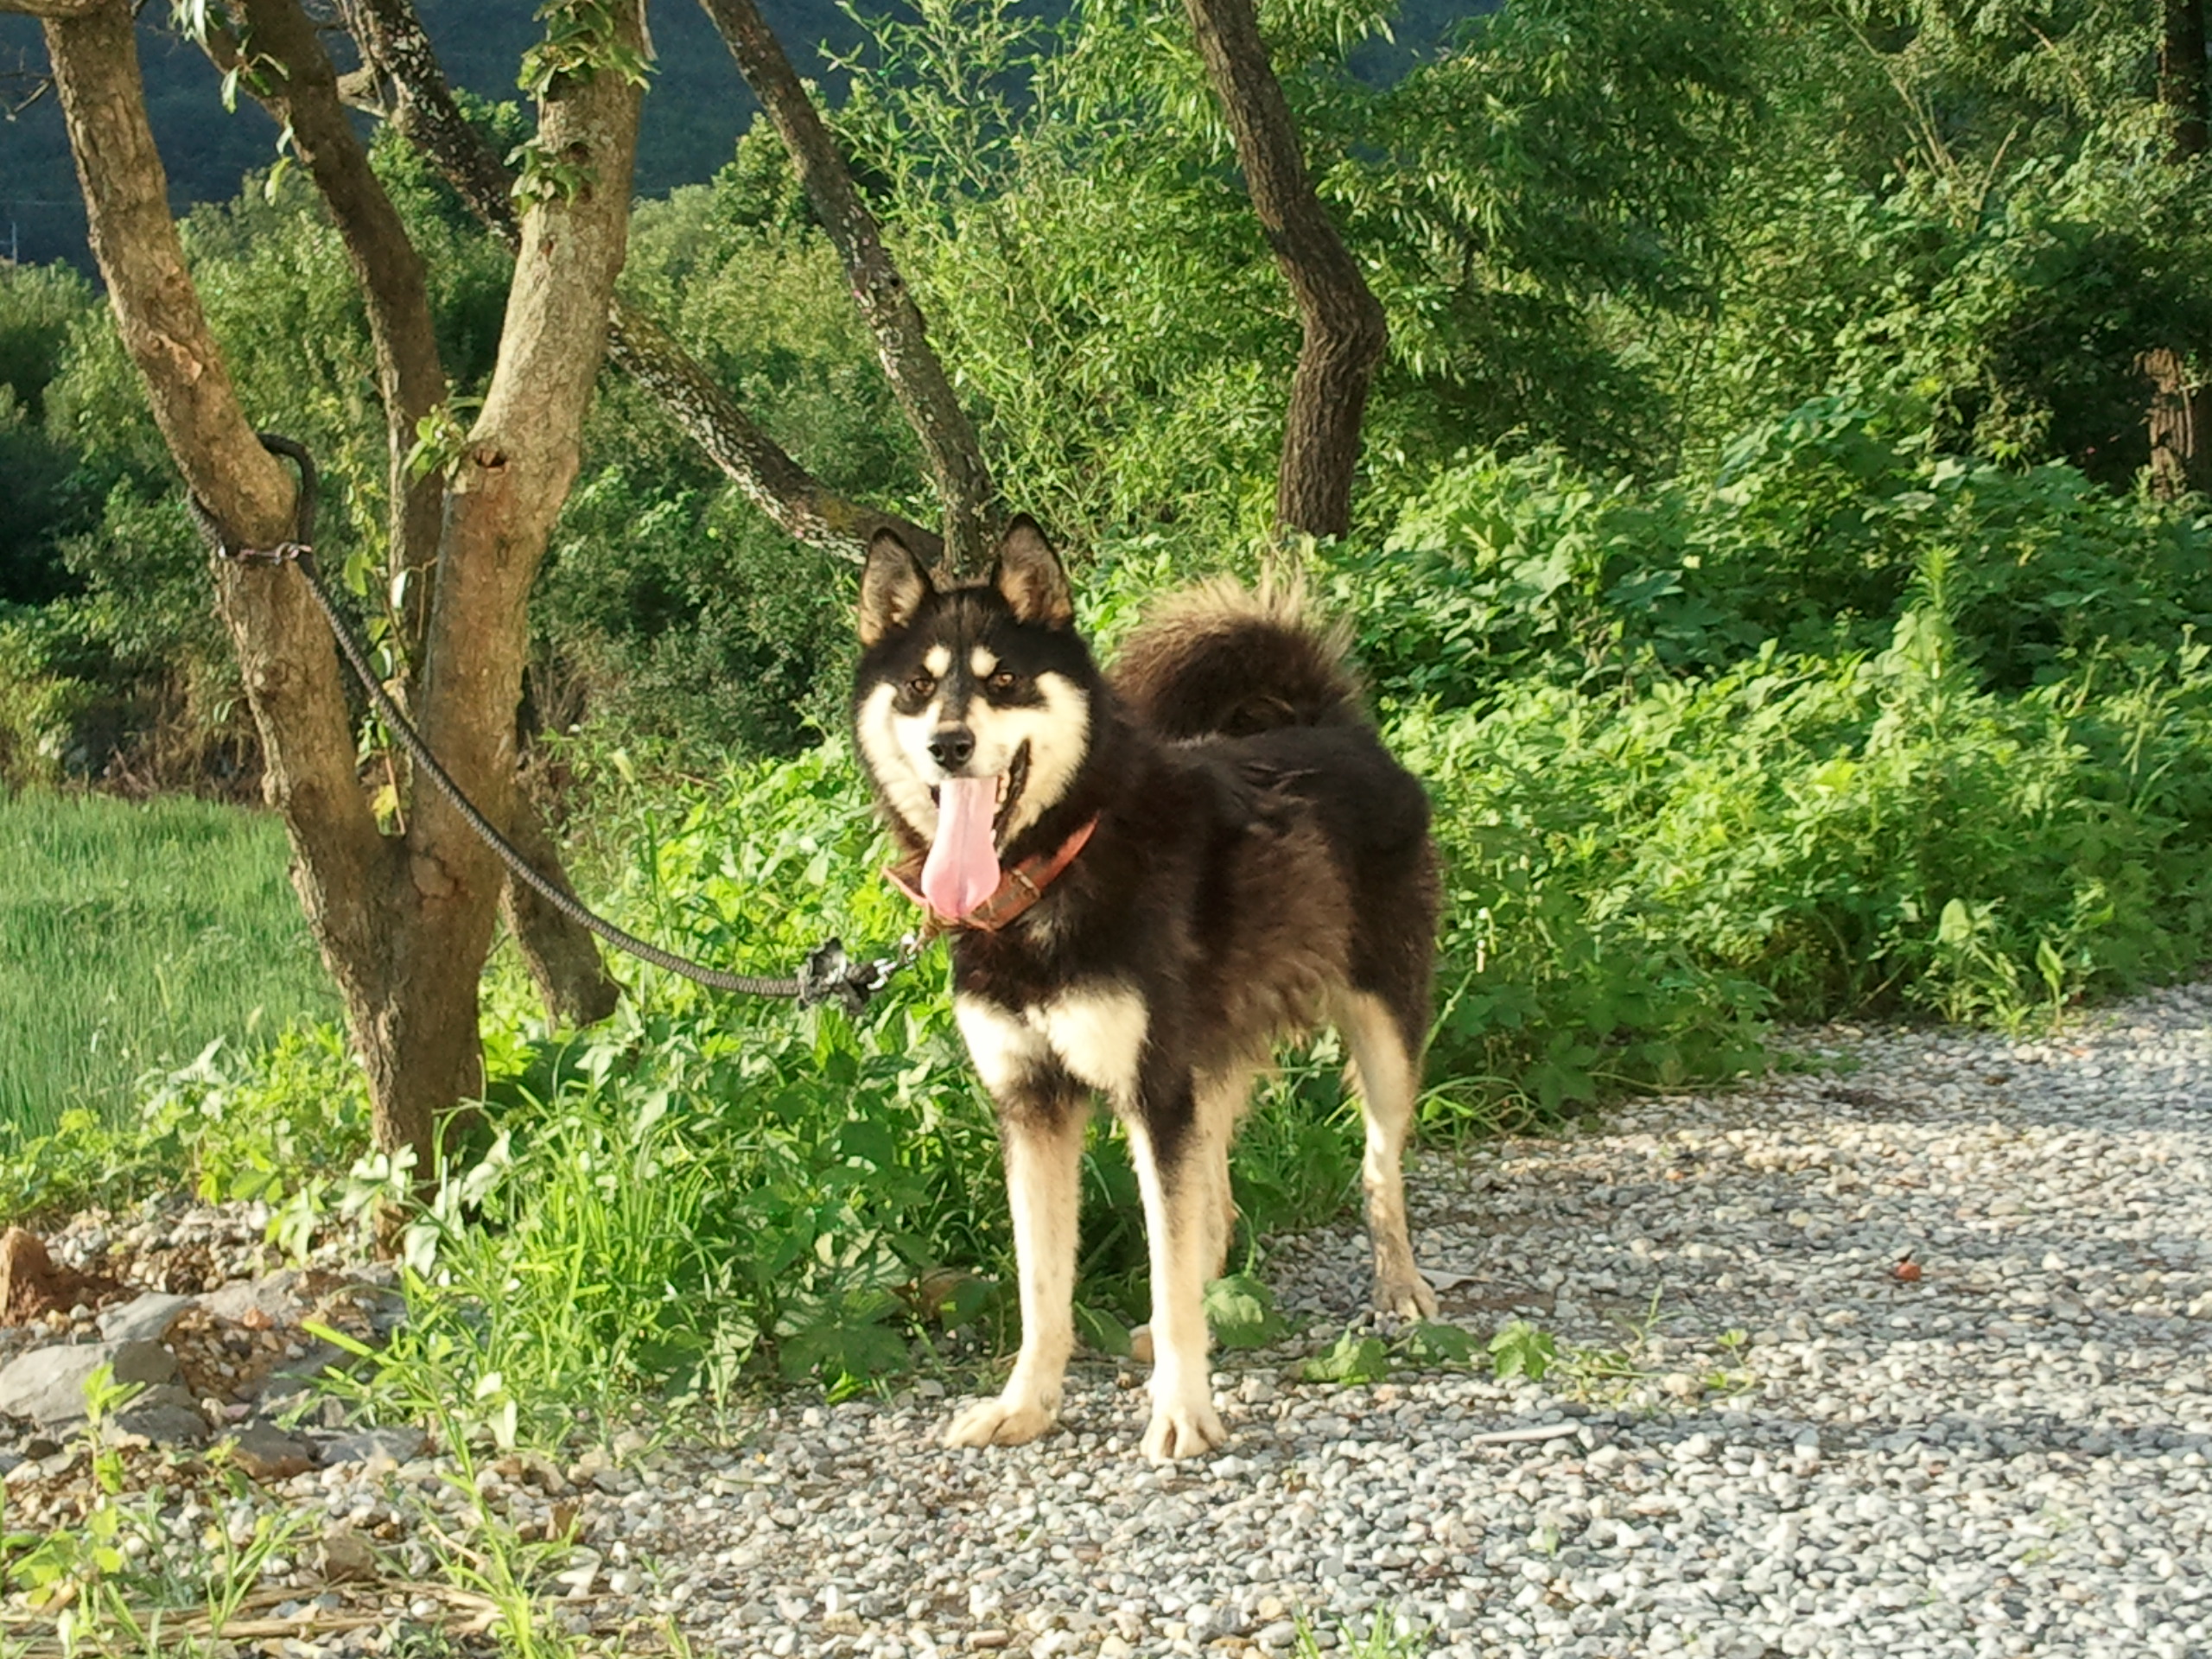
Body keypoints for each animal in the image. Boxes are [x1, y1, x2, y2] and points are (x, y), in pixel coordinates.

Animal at [853, 516, 1439, 1461]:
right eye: (918, 686)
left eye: (1004, 679)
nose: (950, 745)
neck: (1048, 877)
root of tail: (1336, 727)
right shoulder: (1034, 1104)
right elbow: (1041, 1285)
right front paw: (1025, 1405)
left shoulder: (1152, 1093)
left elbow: (1164, 1272)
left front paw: (1182, 1412)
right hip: (1209, 1065)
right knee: (1218, 1206)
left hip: (1381, 1035)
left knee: (1378, 1169)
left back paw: (1400, 1286)